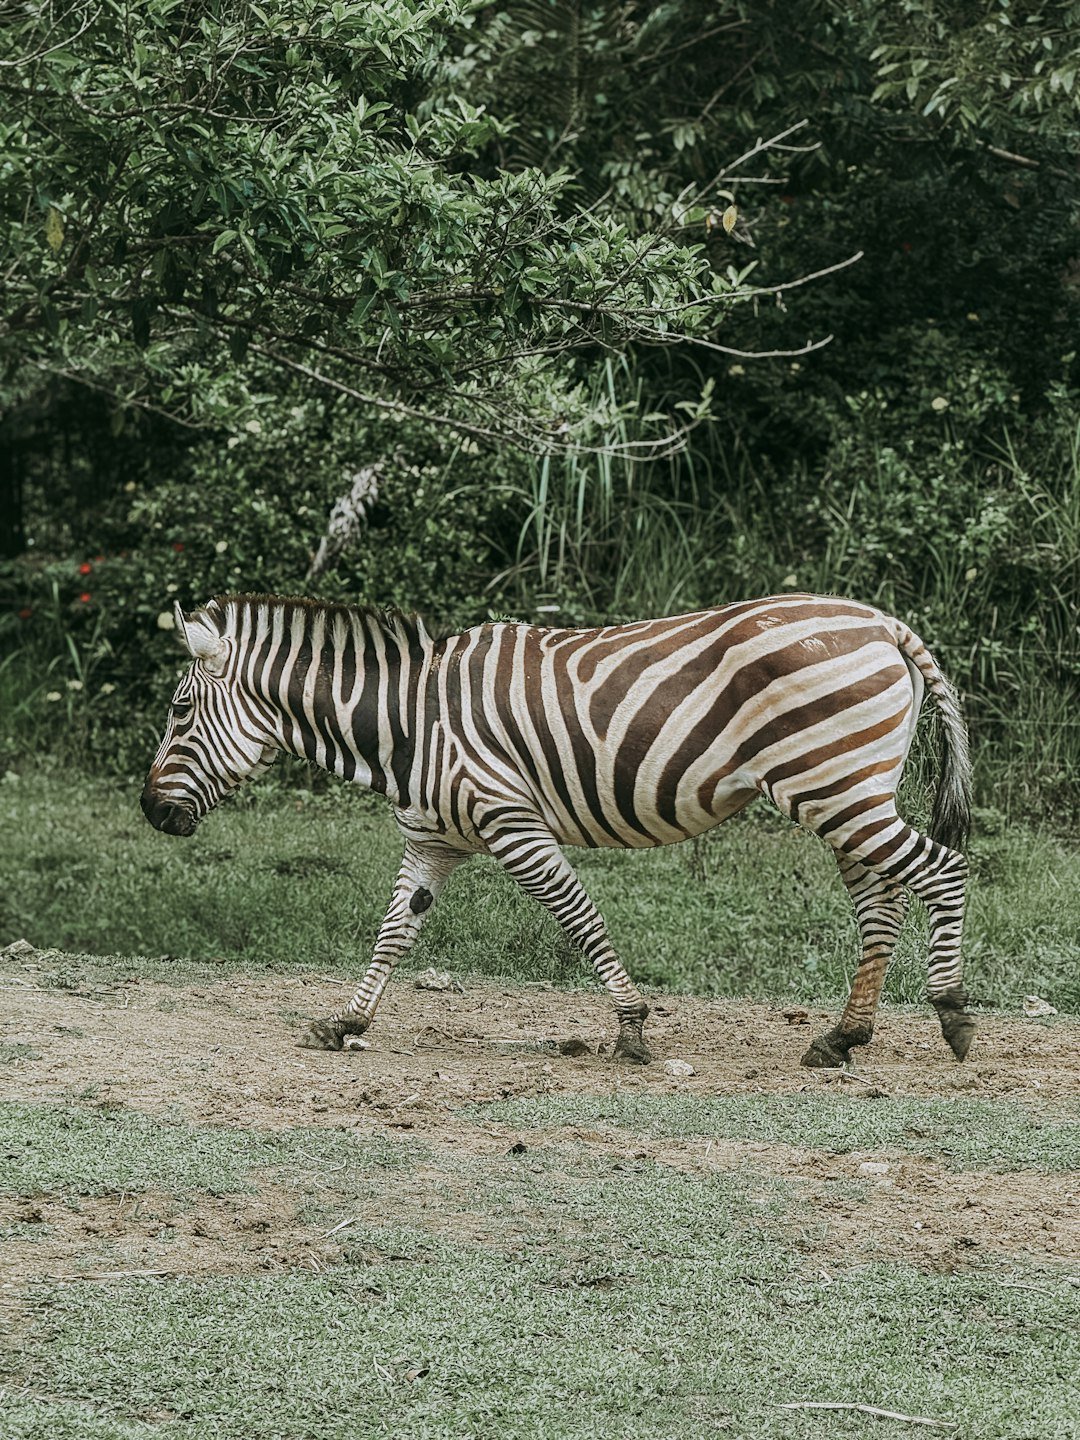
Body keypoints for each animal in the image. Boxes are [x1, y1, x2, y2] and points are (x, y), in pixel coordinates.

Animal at [141, 592, 975, 1068]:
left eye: (179, 709)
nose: (150, 812)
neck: (409, 722)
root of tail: (881, 621)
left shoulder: (511, 821)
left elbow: (579, 919)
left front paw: (632, 1029)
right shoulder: (432, 841)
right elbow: (393, 933)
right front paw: (347, 1021)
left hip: (830, 786)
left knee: (942, 870)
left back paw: (952, 1012)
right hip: (847, 789)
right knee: (882, 900)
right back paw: (843, 1037)